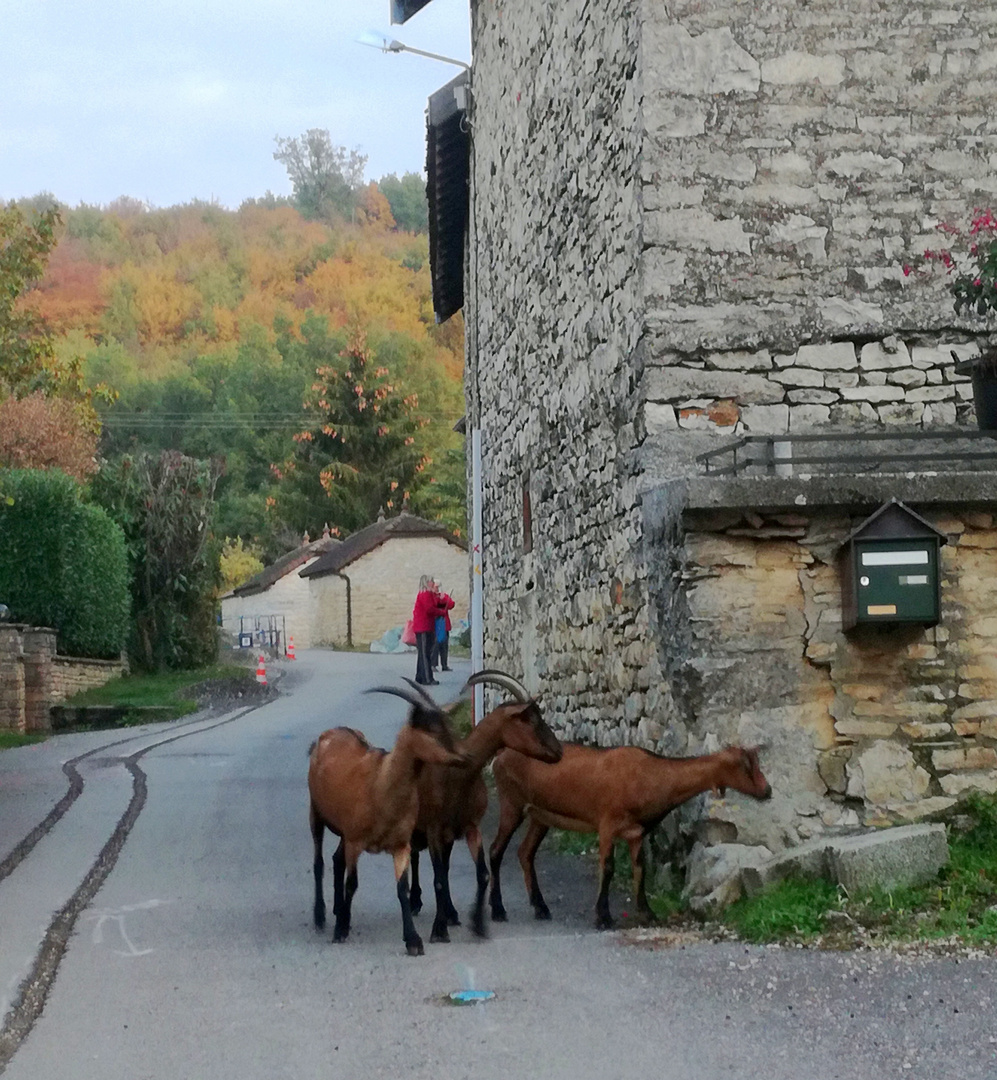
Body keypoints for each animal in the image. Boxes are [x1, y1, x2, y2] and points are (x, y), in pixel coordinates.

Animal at [308, 686, 468, 959]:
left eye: (448, 723)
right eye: (433, 729)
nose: (465, 756)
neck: (382, 783)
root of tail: (328, 734)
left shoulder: (400, 844)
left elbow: (402, 889)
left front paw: (413, 941)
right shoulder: (356, 841)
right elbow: (352, 883)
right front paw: (340, 931)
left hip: (345, 831)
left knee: (336, 859)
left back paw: (340, 910)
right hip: (316, 813)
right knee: (319, 861)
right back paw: (321, 917)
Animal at [406, 669, 561, 941]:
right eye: (529, 719)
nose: (558, 750)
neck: (457, 776)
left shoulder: (469, 826)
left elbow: (481, 874)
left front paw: (477, 923)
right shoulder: (434, 828)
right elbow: (437, 878)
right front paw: (438, 930)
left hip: (446, 836)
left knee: (443, 866)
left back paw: (451, 913)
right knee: (414, 856)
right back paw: (415, 902)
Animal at [490, 743, 773, 928]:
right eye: (745, 766)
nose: (767, 791)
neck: (649, 776)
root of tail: (501, 755)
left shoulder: (637, 833)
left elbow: (640, 868)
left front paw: (646, 913)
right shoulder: (607, 824)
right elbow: (608, 867)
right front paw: (603, 916)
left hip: (540, 815)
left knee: (524, 852)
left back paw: (540, 907)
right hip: (511, 802)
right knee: (496, 850)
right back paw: (498, 909)